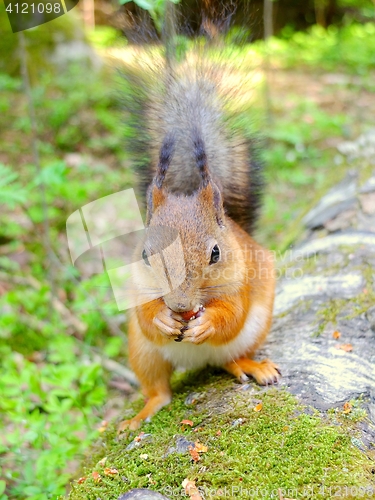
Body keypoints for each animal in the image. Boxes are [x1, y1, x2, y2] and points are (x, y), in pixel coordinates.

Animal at [119, 29, 280, 432]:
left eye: (216, 253)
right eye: (144, 254)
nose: (179, 305)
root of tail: (195, 364)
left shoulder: (240, 279)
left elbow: (231, 314)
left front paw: (207, 323)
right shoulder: (137, 287)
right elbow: (145, 315)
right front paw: (161, 316)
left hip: (254, 330)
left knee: (229, 358)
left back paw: (252, 366)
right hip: (142, 353)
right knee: (158, 390)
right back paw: (142, 414)